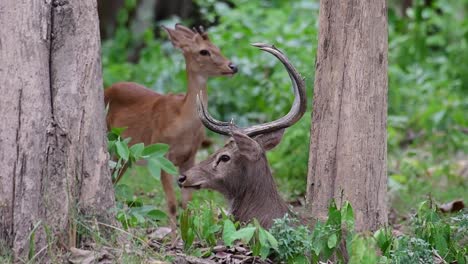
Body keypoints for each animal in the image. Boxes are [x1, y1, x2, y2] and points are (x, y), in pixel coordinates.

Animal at [105, 23, 238, 232]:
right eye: (204, 51)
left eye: (217, 47)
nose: (233, 66)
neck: (182, 120)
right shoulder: (161, 155)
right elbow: (172, 205)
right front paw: (173, 236)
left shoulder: (190, 157)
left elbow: (186, 204)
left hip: (124, 154)